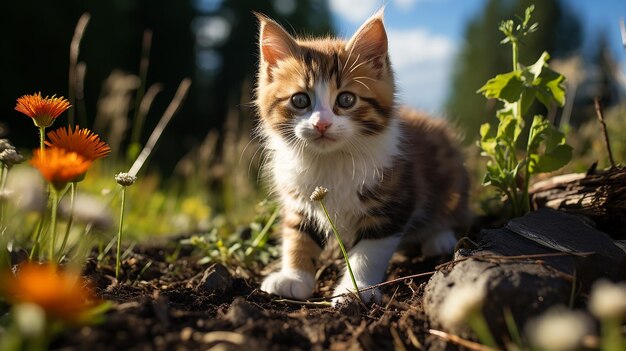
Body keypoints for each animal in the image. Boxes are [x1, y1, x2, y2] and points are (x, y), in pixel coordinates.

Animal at [254, 8, 468, 306]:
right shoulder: (298, 197)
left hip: (452, 170)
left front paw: (353, 290)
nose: (321, 124)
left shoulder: (393, 201)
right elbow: (297, 234)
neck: (332, 159)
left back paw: (439, 237)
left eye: (346, 100)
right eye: (299, 100)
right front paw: (294, 277)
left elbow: (369, 251)